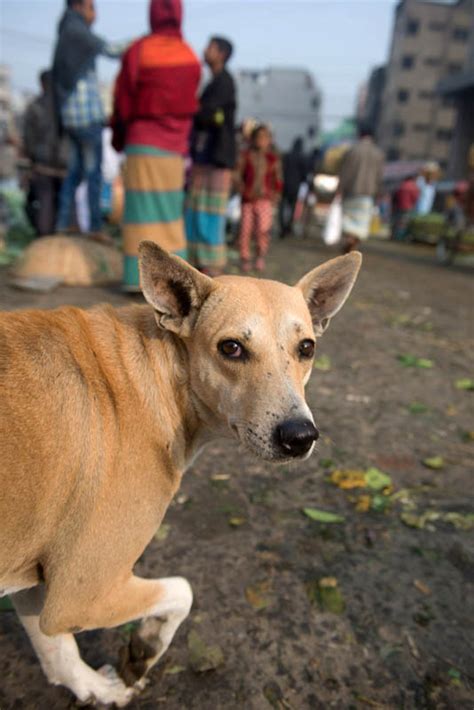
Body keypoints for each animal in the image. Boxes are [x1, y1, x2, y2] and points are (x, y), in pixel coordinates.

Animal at [0, 243, 362, 708]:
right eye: (231, 348)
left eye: (306, 348)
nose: (300, 436)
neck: (157, 376)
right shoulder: (81, 595)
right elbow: (182, 591)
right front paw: (145, 648)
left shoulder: (36, 584)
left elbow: (56, 650)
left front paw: (95, 688)